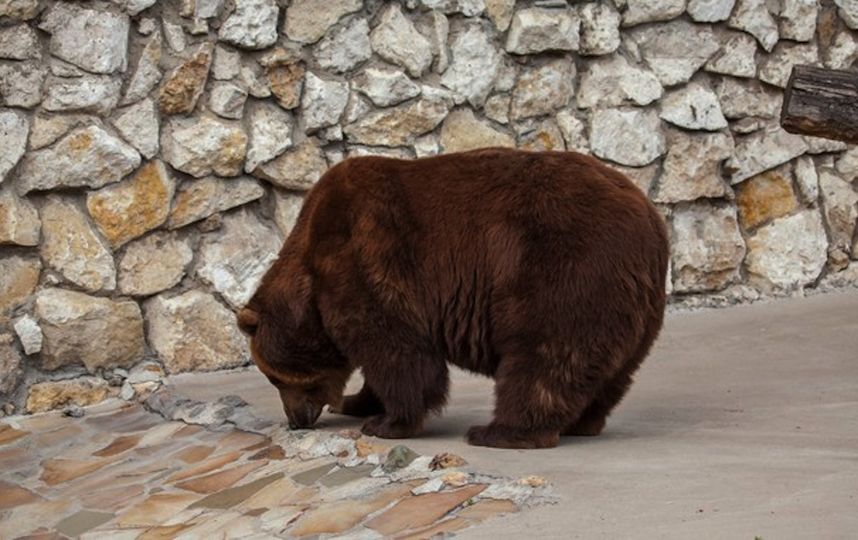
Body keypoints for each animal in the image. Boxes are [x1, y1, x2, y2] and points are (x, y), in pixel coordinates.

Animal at [236, 147, 668, 448]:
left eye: (274, 378)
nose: (296, 420)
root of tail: (650, 220)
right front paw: (358, 402)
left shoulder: (363, 256)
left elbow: (395, 351)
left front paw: (387, 423)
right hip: (636, 306)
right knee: (610, 371)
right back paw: (581, 422)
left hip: (561, 264)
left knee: (544, 354)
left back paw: (498, 431)